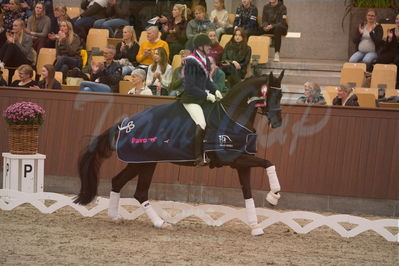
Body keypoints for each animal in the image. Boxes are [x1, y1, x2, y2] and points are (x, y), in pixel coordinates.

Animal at [72, 70, 284, 235]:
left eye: (281, 96)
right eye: (272, 95)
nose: (277, 123)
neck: (232, 116)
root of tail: (125, 124)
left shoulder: (241, 162)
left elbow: (248, 193)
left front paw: (255, 226)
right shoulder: (234, 159)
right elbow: (269, 163)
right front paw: (273, 196)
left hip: (142, 162)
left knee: (120, 183)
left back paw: (116, 217)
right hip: (144, 162)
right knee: (138, 191)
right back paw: (160, 223)